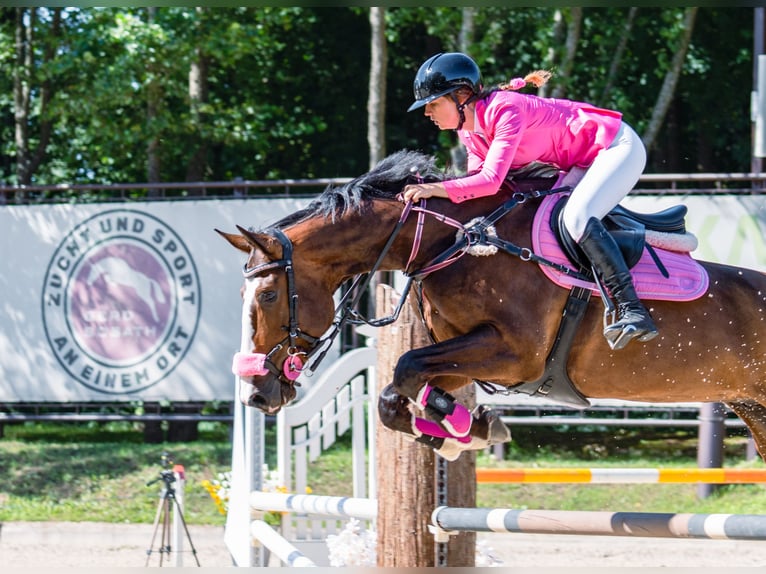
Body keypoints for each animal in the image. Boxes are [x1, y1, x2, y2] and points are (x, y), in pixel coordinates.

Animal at [219, 150, 766, 464]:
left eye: (267, 295)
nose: (256, 395)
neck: (456, 241)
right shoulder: (467, 353)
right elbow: (397, 395)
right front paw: (463, 430)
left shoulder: (515, 355)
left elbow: (406, 367)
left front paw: (463, 426)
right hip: (752, 408)